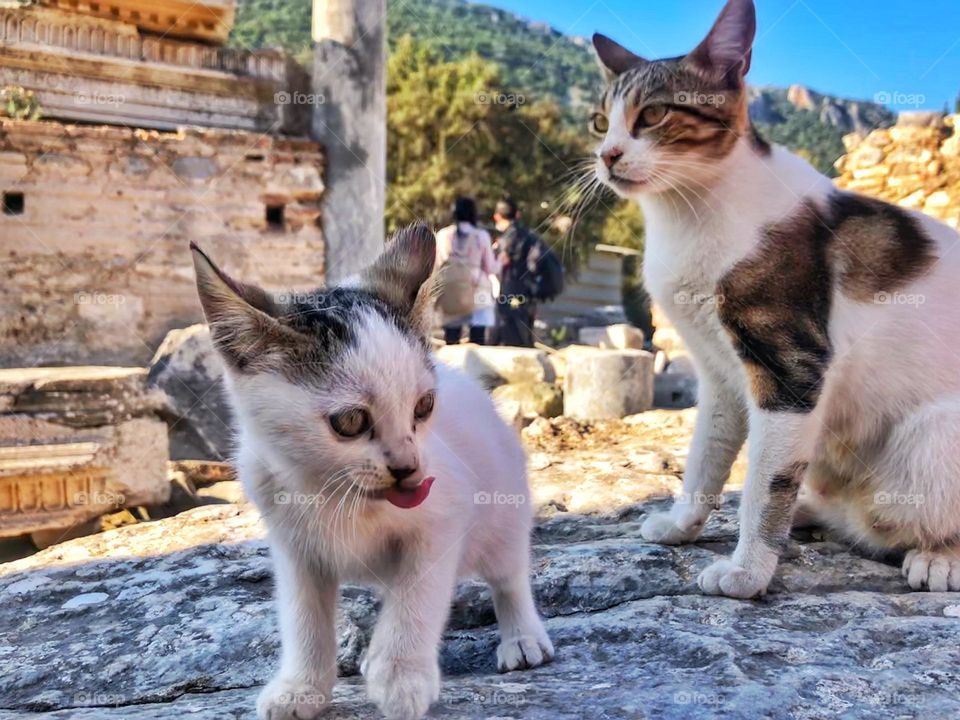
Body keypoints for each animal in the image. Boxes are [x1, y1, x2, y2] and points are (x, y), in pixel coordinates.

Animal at [190, 226, 556, 720]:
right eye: (350, 421)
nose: (408, 467)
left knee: (509, 574)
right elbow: (303, 616)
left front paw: (401, 675)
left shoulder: (443, 518)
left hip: (503, 510)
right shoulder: (293, 545)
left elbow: (416, 595)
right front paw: (300, 687)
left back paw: (522, 636)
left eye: (424, 406)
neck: (332, 489)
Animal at [588, 0, 960, 596]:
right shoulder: (718, 373)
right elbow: (706, 457)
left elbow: (766, 482)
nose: (607, 155)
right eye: (600, 123)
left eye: (653, 114)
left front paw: (747, 570)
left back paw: (939, 557)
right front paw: (684, 524)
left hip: (935, 438)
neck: (685, 216)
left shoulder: (790, 367)